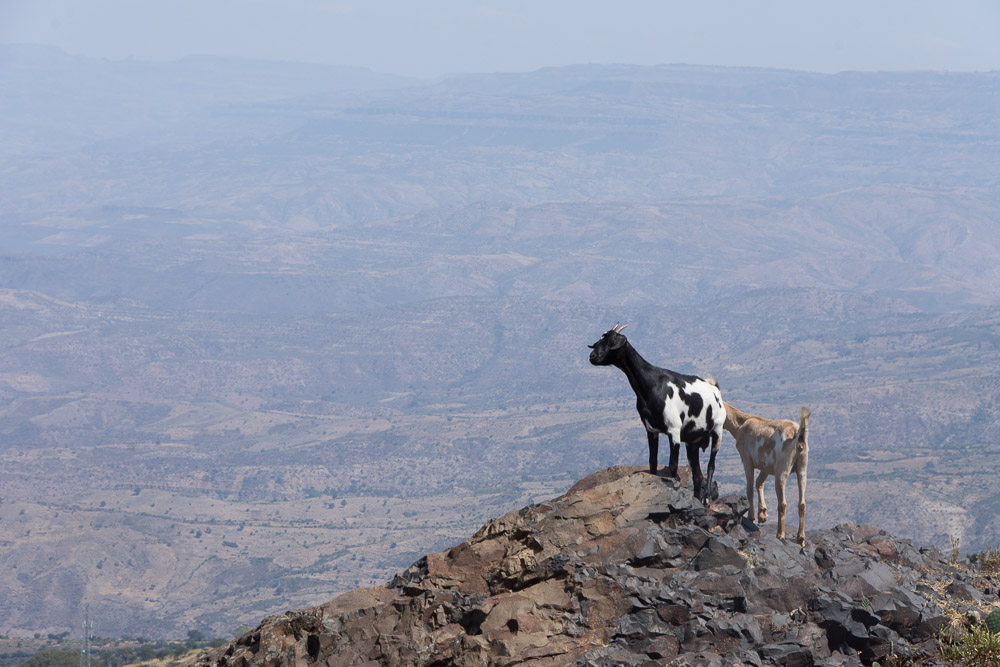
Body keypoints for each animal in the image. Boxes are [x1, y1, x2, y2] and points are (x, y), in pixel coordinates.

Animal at [588, 324, 726, 503]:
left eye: (611, 342)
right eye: (599, 341)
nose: (592, 356)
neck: (652, 385)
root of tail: (715, 389)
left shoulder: (674, 430)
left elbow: (673, 465)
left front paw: (676, 484)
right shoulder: (651, 430)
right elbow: (652, 463)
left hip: (717, 431)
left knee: (711, 465)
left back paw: (707, 497)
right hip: (692, 442)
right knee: (697, 475)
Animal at [723, 402, 811, 546]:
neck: (742, 424)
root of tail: (798, 434)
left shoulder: (747, 460)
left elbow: (749, 489)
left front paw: (752, 517)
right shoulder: (766, 468)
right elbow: (759, 482)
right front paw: (762, 515)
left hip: (781, 472)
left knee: (782, 503)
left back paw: (780, 535)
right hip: (802, 469)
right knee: (802, 504)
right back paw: (800, 539)